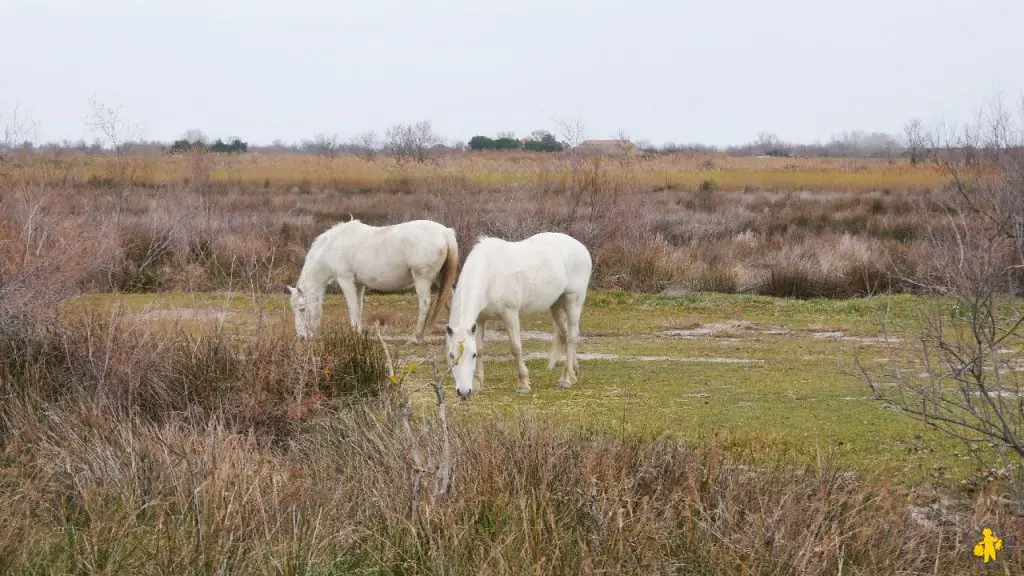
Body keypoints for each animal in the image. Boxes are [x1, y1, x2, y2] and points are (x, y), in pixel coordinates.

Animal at [286, 217, 458, 338]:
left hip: (422, 280)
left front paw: (354, 333)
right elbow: (359, 307)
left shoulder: (345, 280)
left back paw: (416, 336)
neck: (331, 245)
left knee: (425, 304)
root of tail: (445, 233)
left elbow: (352, 307)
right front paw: (358, 332)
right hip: (440, 278)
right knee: (450, 300)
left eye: (302, 309)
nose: (302, 337)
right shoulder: (359, 284)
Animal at [444, 230, 598, 397]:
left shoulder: (510, 314)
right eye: (451, 355)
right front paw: (479, 384)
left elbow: (515, 347)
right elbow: (480, 348)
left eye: (471, 355)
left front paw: (523, 383)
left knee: (572, 337)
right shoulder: (479, 320)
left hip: (573, 301)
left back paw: (565, 379)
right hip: (556, 305)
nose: (464, 392)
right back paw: (574, 373)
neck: (489, 274)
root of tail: (581, 247)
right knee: (565, 333)